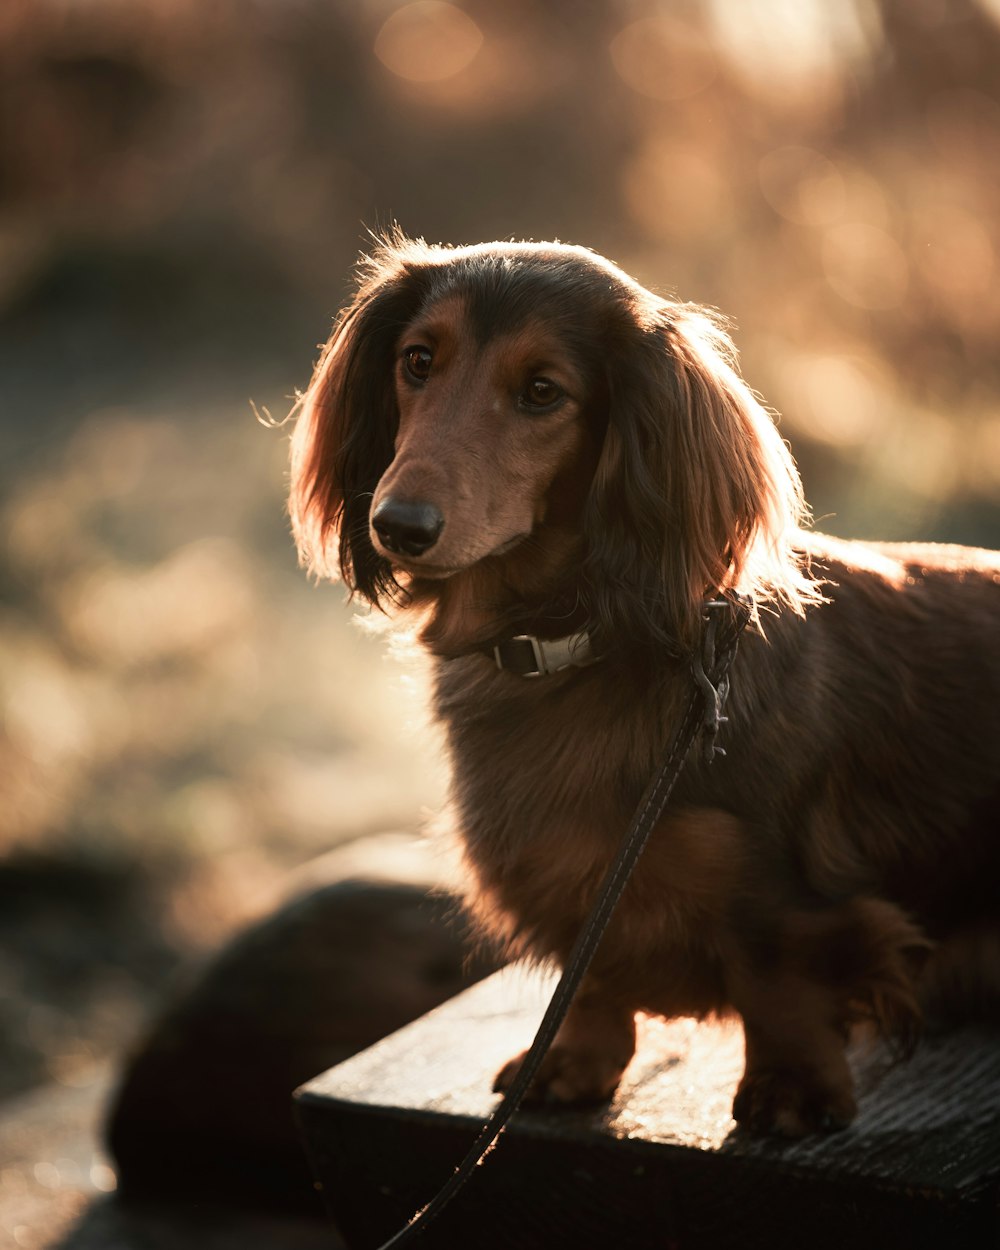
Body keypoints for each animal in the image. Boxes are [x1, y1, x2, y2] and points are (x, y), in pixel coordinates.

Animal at [288, 232, 1000, 1135]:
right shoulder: (573, 884)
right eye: (418, 359)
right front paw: (571, 1063)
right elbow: (588, 979)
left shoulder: (779, 894)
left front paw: (792, 1088)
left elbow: (779, 980)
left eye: (542, 391)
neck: (572, 649)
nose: (398, 525)